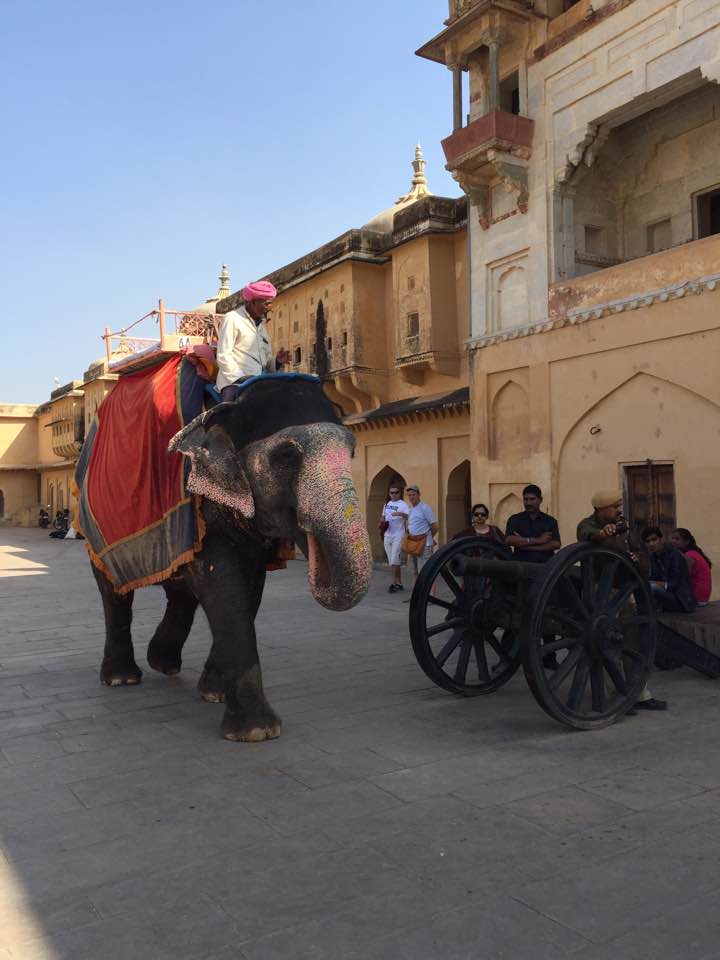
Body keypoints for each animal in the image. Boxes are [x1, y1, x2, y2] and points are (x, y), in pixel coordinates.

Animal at [90, 376, 372, 744]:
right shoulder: (196, 497)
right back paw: (121, 678)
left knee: (181, 591)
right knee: (114, 591)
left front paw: (215, 693)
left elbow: (249, 588)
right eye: (286, 456)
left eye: (352, 452)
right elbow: (223, 583)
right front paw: (256, 732)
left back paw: (164, 663)